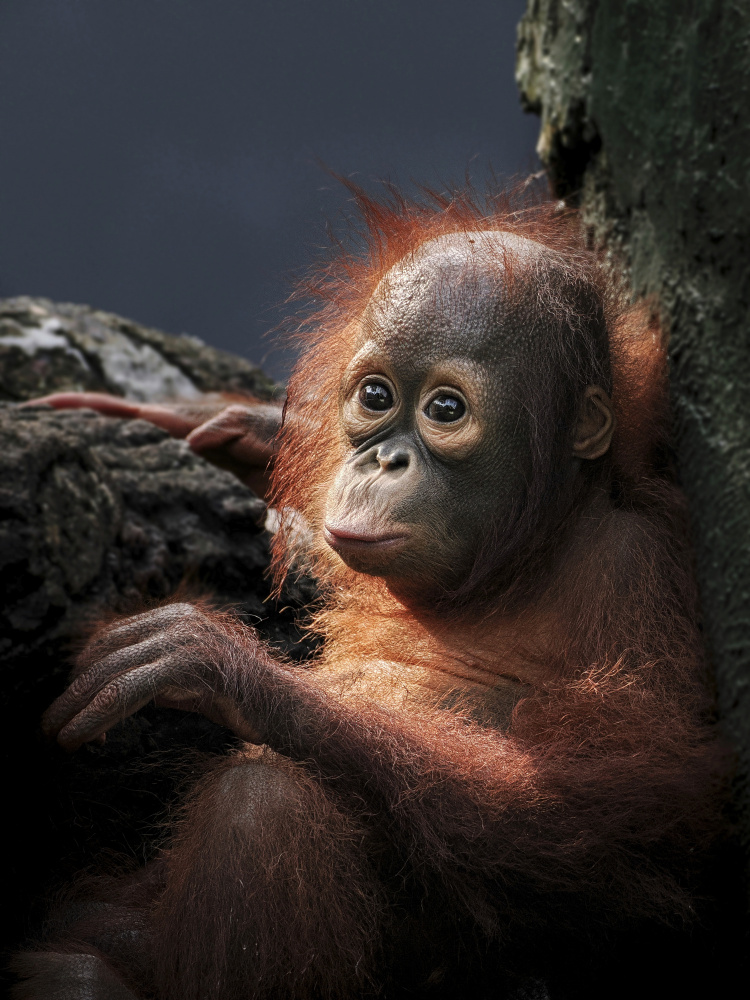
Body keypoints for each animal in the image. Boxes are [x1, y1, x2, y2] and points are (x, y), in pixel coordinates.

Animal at [13, 189, 729, 1000]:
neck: (517, 562)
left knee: (263, 805)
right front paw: (234, 426)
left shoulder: (640, 574)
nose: (383, 460)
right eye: (376, 395)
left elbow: (601, 817)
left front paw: (227, 670)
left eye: (445, 410)